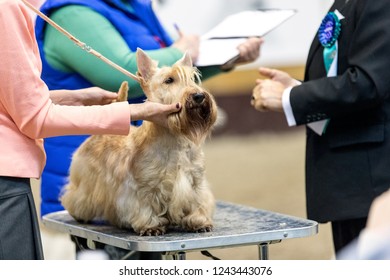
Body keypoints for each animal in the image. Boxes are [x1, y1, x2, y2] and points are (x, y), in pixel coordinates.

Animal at [61, 48, 219, 236]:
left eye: (192, 79)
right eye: (169, 80)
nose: (199, 96)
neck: (175, 138)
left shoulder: (195, 181)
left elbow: (198, 202)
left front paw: (199, 222)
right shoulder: (144, 187)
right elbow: (144, 206)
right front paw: (151, 226)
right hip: (86, 182)